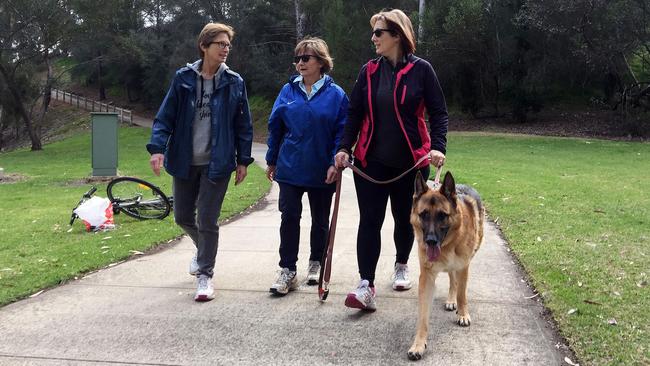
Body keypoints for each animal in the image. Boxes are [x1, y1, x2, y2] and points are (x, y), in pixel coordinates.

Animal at [404, 171, 480, 360]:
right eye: (423, 214)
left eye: (442, 215)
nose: (430, 241)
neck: (449, 244)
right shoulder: (426, 278)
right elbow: (423, 317)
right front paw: (418, 345)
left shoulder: (463, 267)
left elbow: (462, 294)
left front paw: (463, 314)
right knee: (452, 280)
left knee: (456, 283)